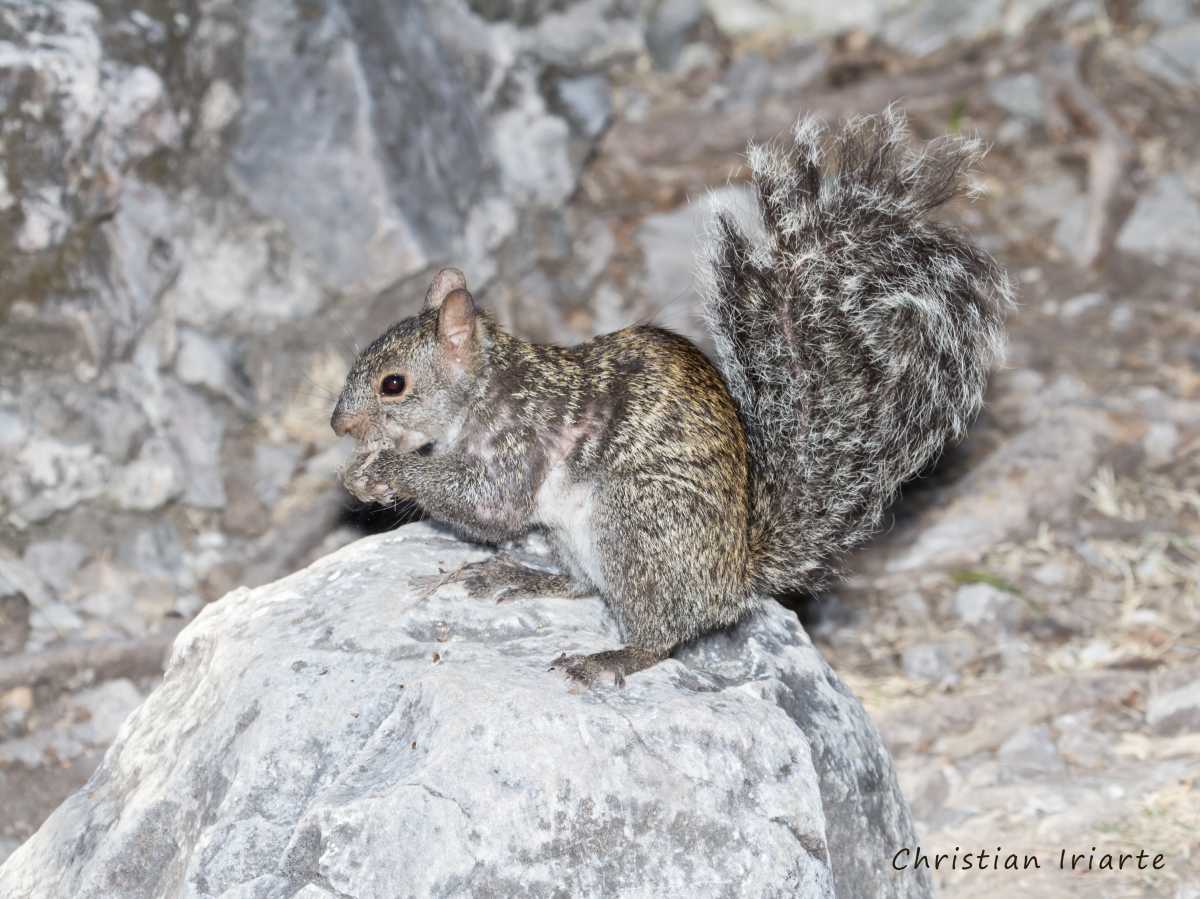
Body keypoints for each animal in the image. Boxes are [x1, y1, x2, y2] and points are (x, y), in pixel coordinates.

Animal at [331, 110, 1012, 687]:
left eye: (393, 384)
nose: (339, 426)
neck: (486, 392)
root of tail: (733, 580)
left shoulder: (521, 441)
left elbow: (488, 505)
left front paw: (391, 471)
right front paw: (363, 477)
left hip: (635, 526)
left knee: (662, 634)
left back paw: (609, 657)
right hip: (581, 539)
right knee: (586, 589)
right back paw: (519, 576)